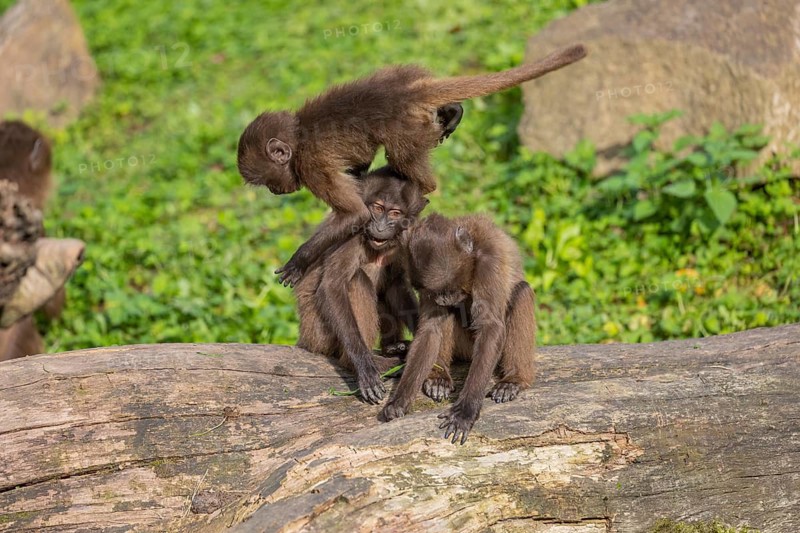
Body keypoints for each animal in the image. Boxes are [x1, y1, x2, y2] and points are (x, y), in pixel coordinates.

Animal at [237, 44, 587, 288]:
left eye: (266, 181)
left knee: (403, 160)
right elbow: (359, 169)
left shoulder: (310, 166)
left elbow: (354, 214)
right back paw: (453, 111)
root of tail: (404, 92)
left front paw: (299, 261)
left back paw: (424, 189)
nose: (276, 190)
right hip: (404, 76)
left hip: (406, 131)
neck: (298, 138)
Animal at [294, 166, 428, 404]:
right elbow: (332, 286)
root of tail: (305, 338)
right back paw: (367, 362)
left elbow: (397, 283)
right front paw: (365, 367)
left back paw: (393, 347)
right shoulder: (354, 231)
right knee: (357, 280)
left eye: (395, 213)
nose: (380, 227)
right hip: (317, 333)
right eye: (378, 208)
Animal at [380, 213, 536, 444]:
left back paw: (514, 379)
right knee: (445, 316)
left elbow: (490, 327)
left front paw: (465, 411)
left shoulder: (489, 262)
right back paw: (439, 377)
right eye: (435, 292)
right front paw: (399, 401)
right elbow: (430, 330)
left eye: (450, 289)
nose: (443, 299)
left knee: (522, 292)